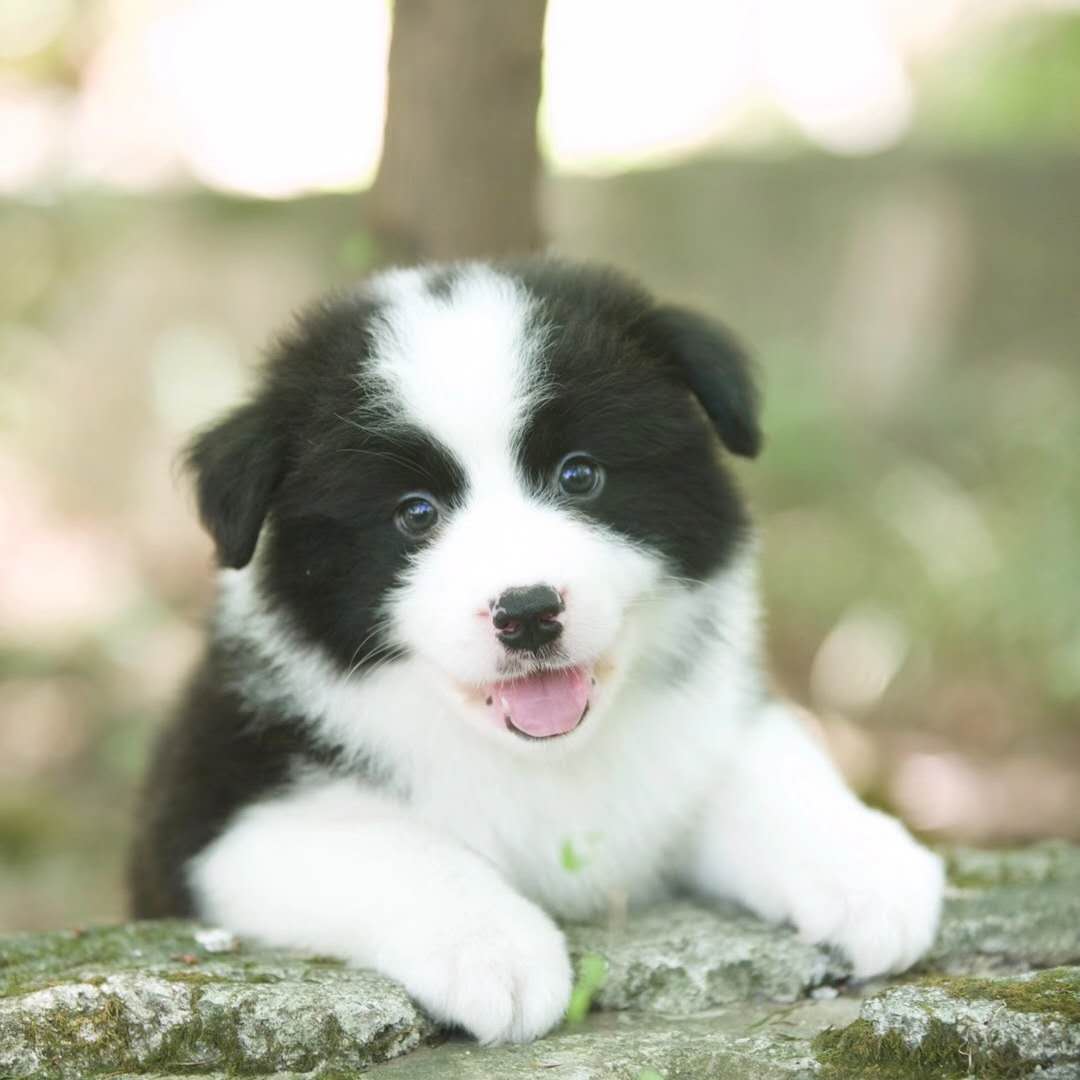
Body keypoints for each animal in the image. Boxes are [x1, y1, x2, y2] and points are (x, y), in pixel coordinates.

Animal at [132, 257, 946, 1041]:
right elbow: (386, 846)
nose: (526, 613)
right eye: (415, 514)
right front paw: (494, 950)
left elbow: (758, 765)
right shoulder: (210, 822)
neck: (543, 762)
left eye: (579, 474)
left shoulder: (693, 732)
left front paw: (864, 868)